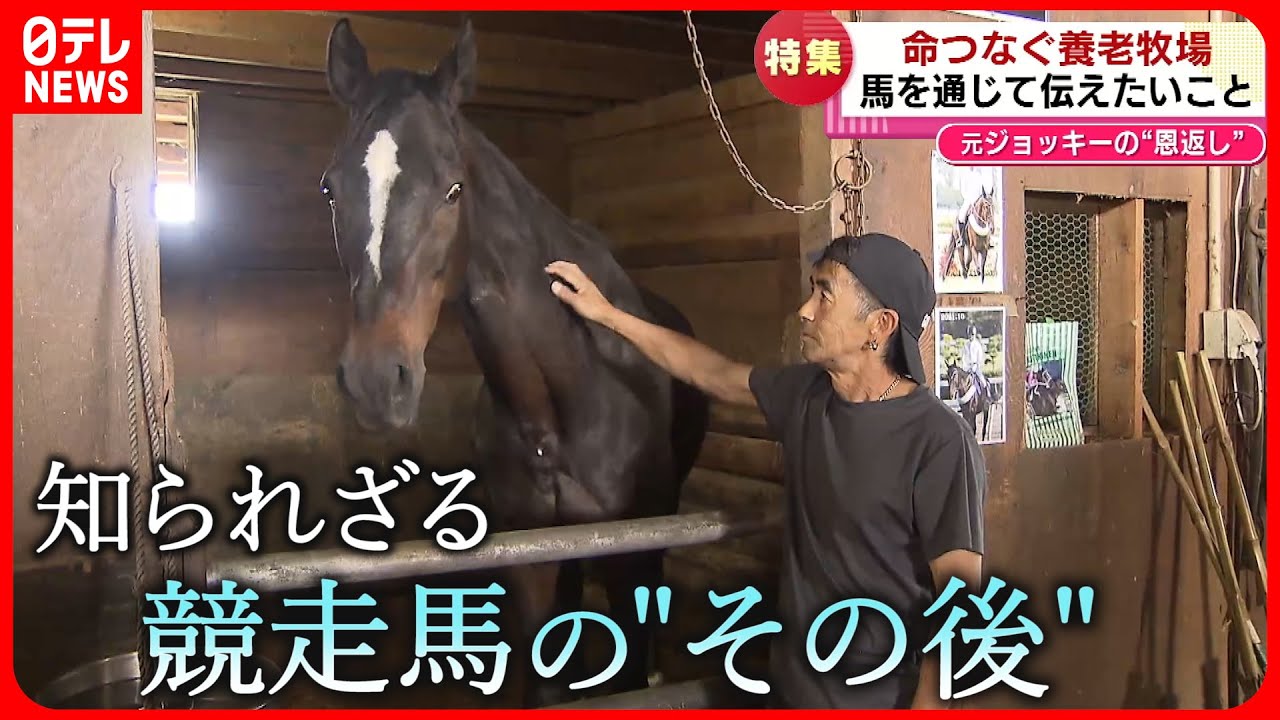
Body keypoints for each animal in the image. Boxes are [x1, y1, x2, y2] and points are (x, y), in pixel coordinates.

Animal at [319, 17, 710, 707]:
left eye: (453, 190)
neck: (565, 397)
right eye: (331, 189)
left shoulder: (636, 550)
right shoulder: (531, 553)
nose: (375, 382)